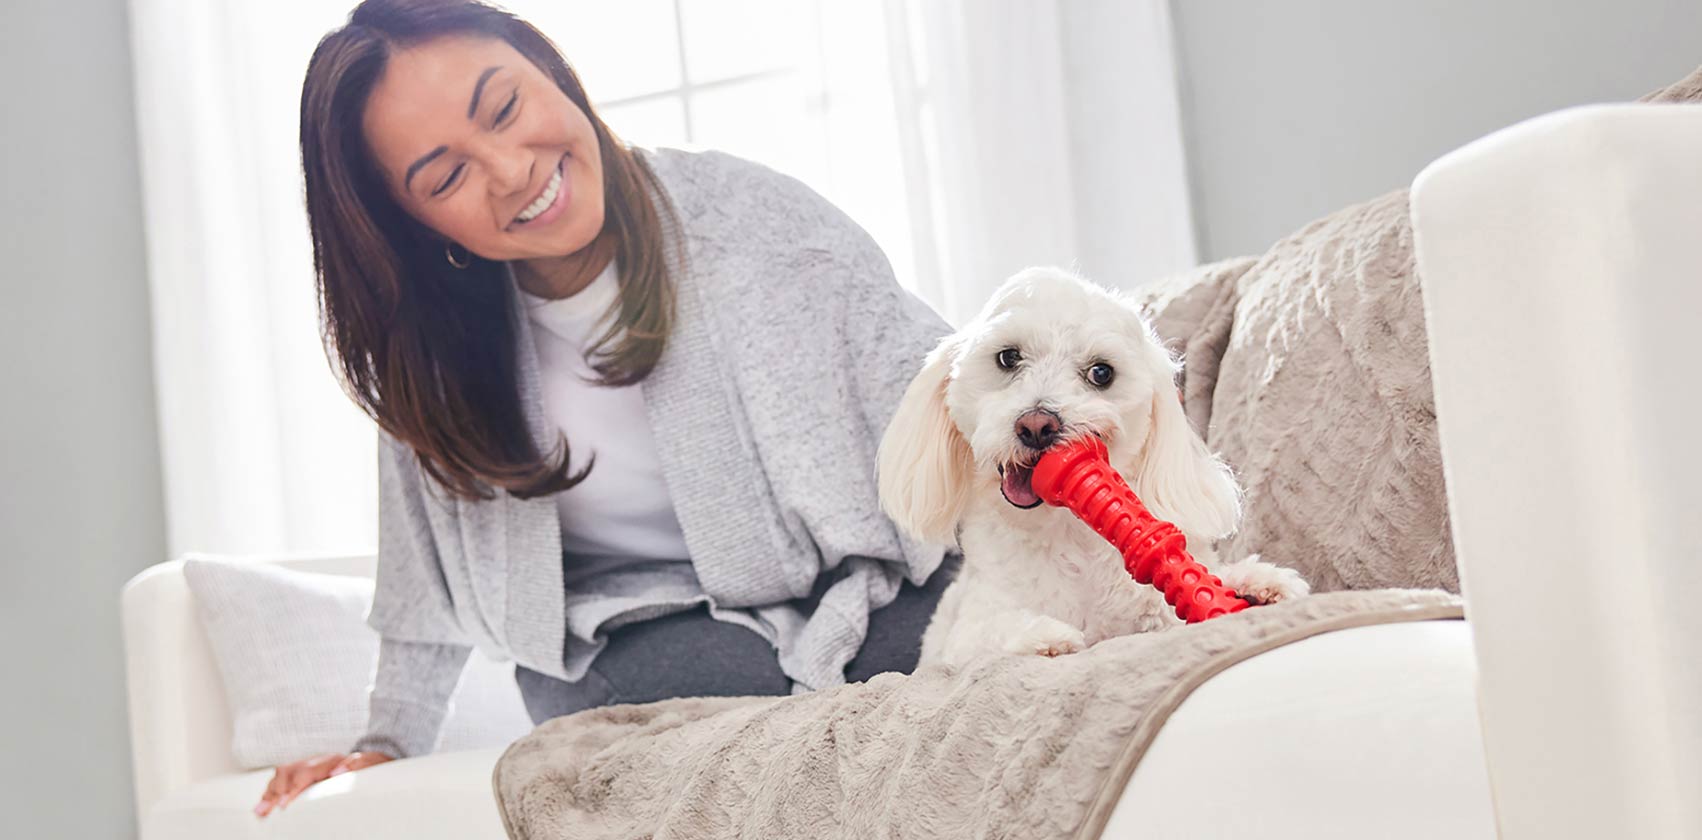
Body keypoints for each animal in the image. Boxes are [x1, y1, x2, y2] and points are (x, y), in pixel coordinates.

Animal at [878, 265, 1300, 666]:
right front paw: (1044, 637)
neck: (1066, 532)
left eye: (1101, 372)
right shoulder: (963, 636)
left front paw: (1251, 583)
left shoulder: (1149, 604)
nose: (1037, 426)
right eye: (1008, 357)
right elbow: (989, 636)